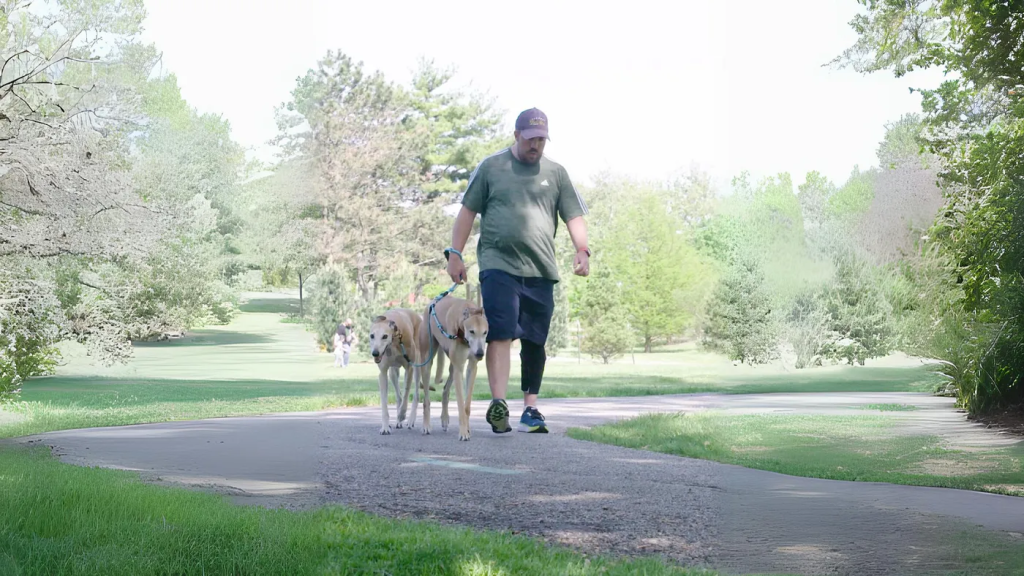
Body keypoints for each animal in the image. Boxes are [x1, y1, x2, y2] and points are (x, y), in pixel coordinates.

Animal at [419, 295, 491, 438]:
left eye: (485, 332)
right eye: (472, 331)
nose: (480, 354)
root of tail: (432, 302)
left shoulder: (471, 367)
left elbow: (466, 405)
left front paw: (467, 429)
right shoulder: (459, 368)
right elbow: (460, 405)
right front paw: (463, 433)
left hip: (452, 367)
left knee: (445, 390)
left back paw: (445, 418)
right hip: (427, 361)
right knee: (426, 399)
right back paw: (426, 426)